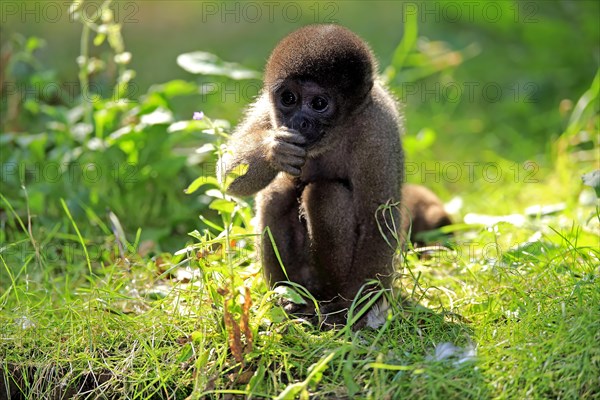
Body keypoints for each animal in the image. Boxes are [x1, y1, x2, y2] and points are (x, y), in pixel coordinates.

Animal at [220, 24, 450, 328]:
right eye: (289, 98)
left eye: (319, 103)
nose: (299, 121)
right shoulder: (266, 109)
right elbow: (226, 173)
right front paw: (274, 151)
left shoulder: (377, 130)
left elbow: (377, 220)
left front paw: (356, 310)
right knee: (277, 192)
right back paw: (289, 297)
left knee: (325, 194)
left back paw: (329, 304)